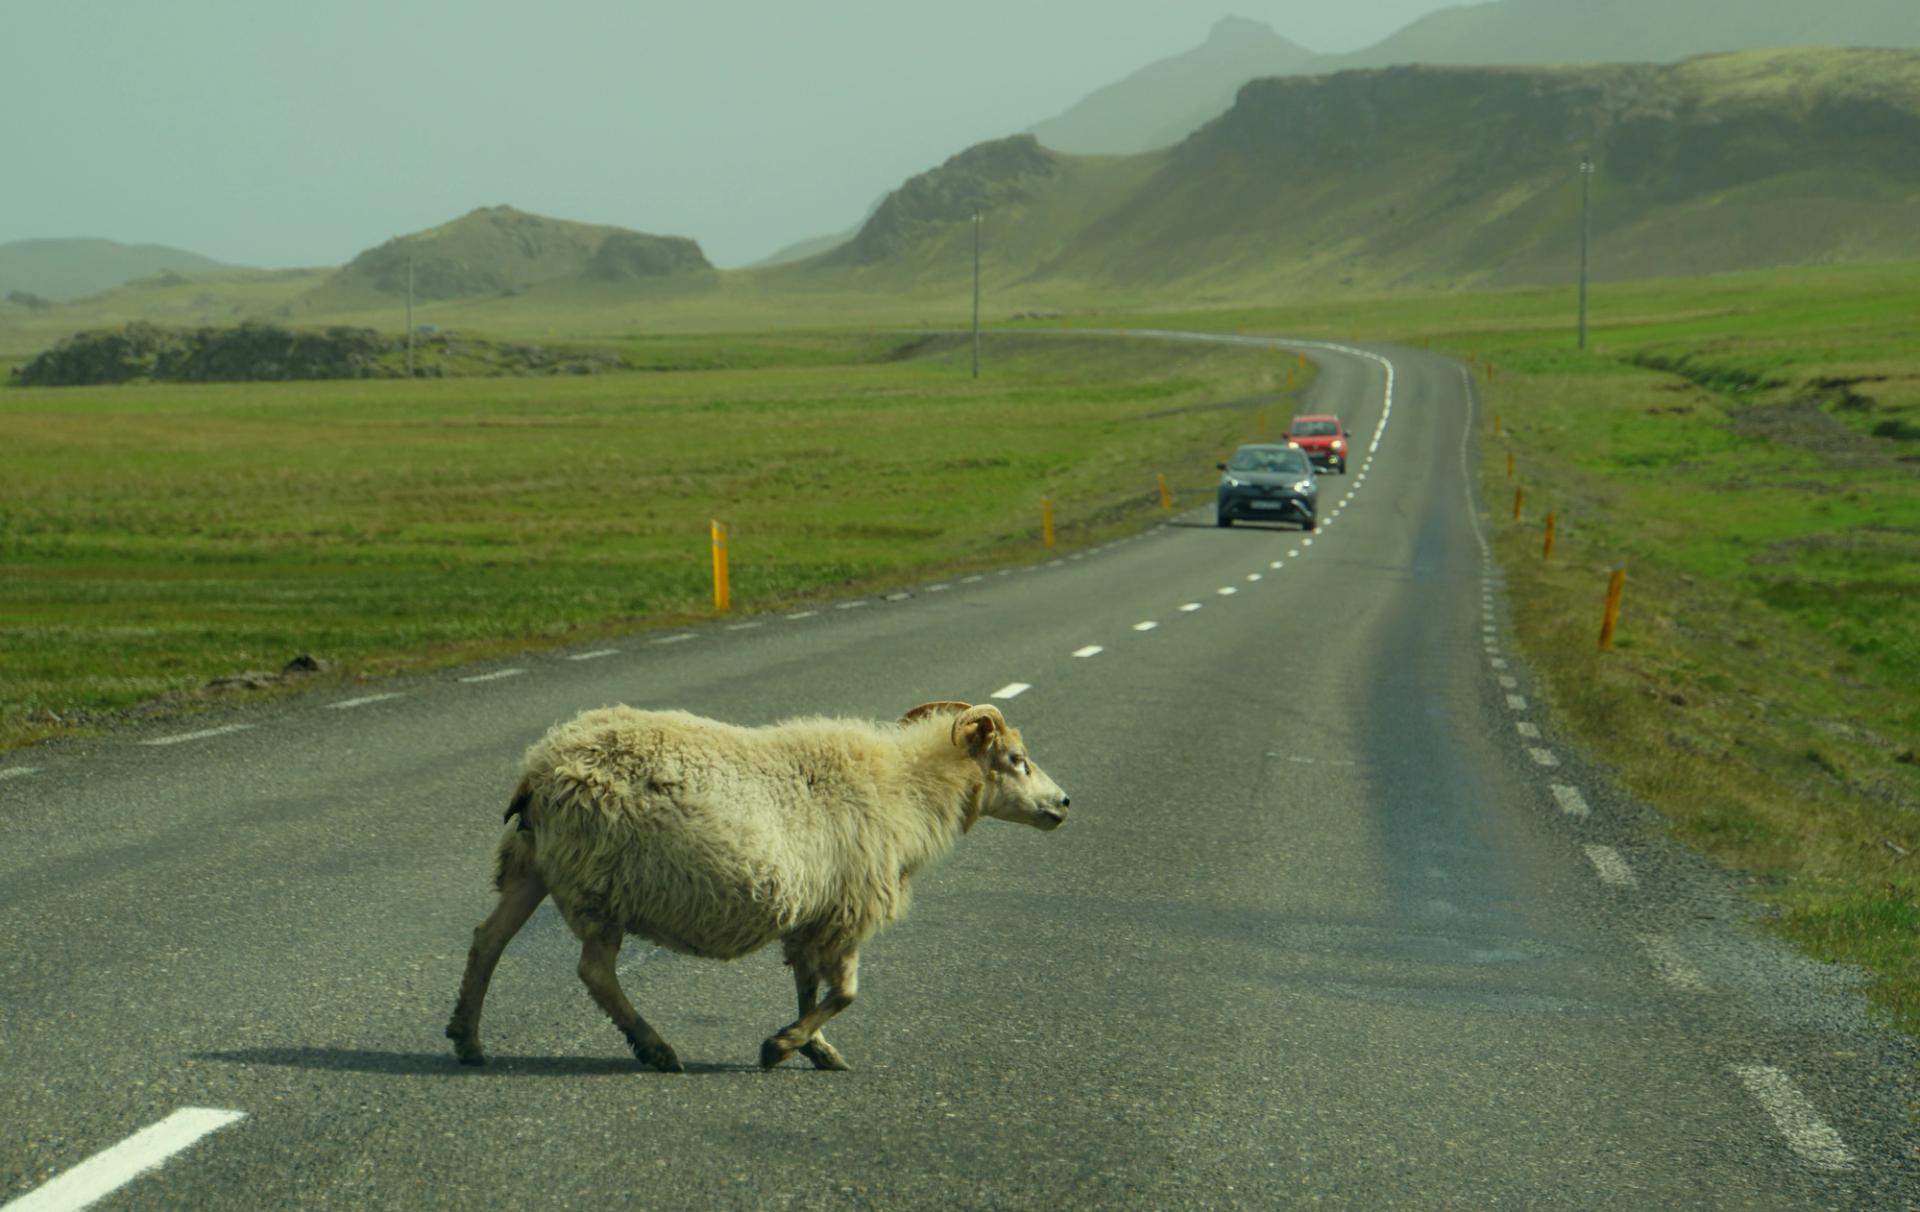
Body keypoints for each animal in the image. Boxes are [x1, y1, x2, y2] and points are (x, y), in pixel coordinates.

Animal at [443, 695, 1075, 1075]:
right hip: (599, 883)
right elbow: (845, 993)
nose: (1065, 803)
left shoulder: (816, 914)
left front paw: (815, 1049)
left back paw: (467, 1039)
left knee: (487, 940)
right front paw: (780, 1046)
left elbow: (808, 988)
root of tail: (541, 767)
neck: (910, 790)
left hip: (532, 867)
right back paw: (655, 1047)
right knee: (594, 972)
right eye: (1016, 759)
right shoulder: (850, 907)